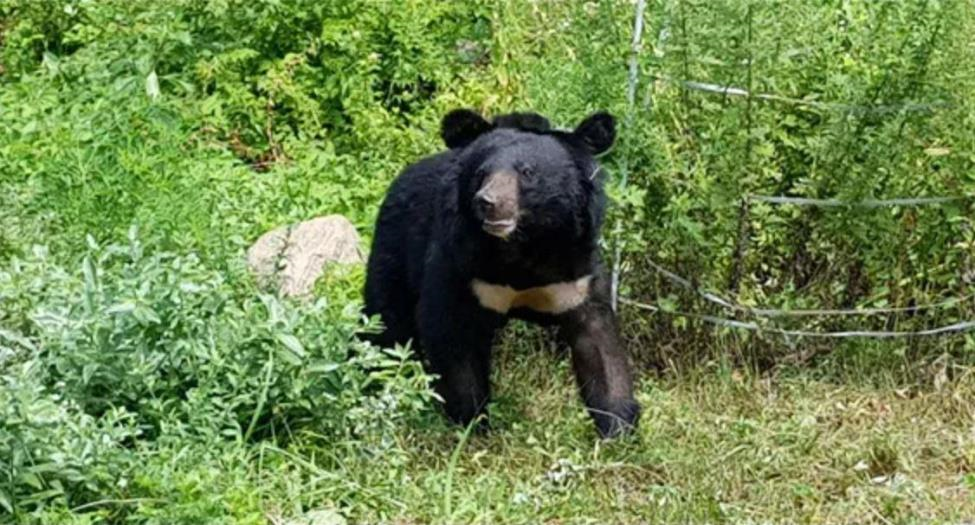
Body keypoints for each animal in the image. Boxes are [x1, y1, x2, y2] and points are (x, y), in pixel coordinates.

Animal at [366, 108, 640, 436]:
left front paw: (618, 426)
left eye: (527, 172)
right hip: (395, 249)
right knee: (386, 322)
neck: (522, 247)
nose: (488, 202)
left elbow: (599, 345)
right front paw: (473, 423)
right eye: (482, 173)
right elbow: (451, 333)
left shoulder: (576, 272)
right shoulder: (461, 263)